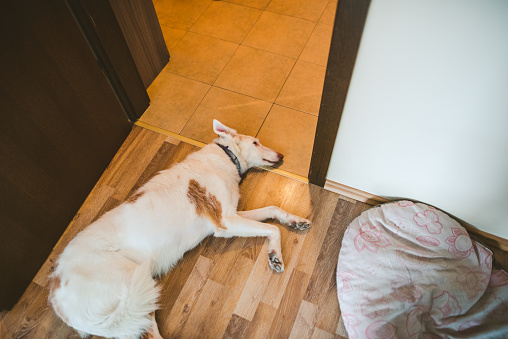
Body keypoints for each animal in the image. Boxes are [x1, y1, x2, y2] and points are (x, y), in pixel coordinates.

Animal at [48, 120, 310, 339]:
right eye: (256, 142)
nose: (282, 155)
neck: (225, 157)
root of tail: (58, 298)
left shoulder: (231, 216)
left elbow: (273, 210)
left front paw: (295, 222)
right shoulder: (226, 223)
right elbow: (273, 229)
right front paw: (275, 256)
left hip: (135, 310)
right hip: (135, 292)